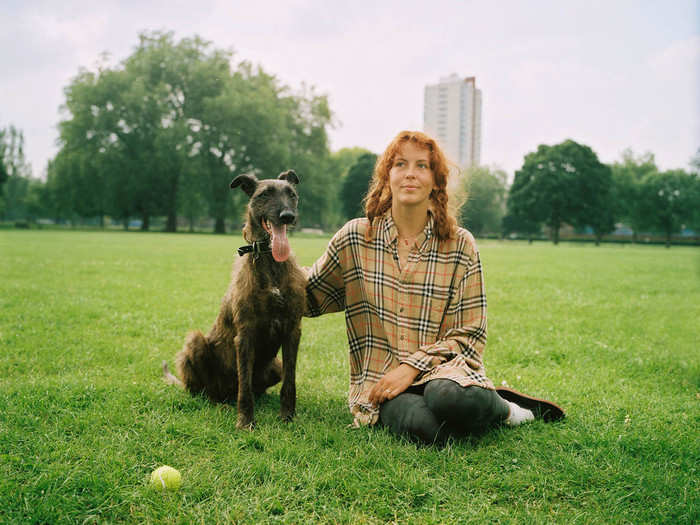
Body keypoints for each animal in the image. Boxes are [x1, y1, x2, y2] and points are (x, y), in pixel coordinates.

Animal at [165, 170, 308, 428]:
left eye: (291, 194)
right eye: (264, 194)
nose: (287, 216)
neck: (270, 261)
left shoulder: (293, 329)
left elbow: (289, 382)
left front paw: (287, 417)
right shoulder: (245, 334)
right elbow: (245, 386)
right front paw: (245, 422)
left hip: (275, 365)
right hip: (195, 343)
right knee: (207, 392)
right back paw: (219, 404)